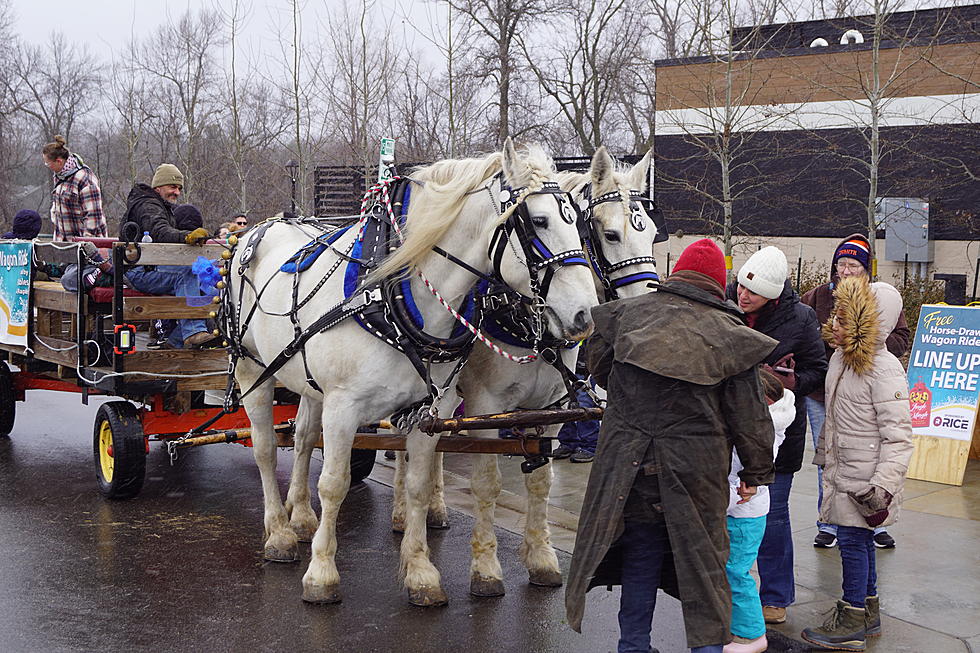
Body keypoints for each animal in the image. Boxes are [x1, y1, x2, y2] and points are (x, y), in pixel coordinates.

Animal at [230, 139, 596, 608]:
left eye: (580, 223)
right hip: (251, 368)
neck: (390, 296)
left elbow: (419, 483)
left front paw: (421, 572)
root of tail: (262, 227)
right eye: (539, 221)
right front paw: (322, 573)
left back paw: (301, 518)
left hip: (308, 385)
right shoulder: (344, 407)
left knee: (302, 439)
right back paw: (278, 533)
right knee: (263, 447)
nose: (585, 314)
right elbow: (334, 483)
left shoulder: (429, 408)